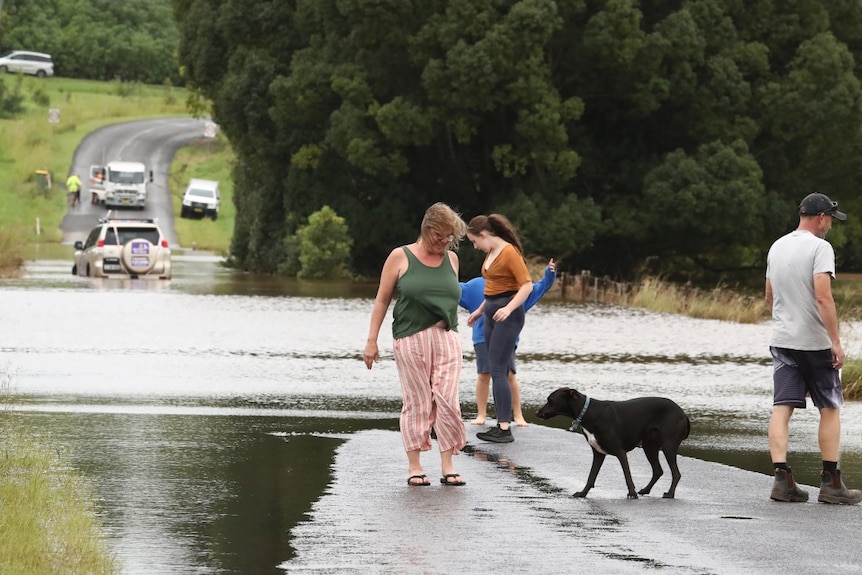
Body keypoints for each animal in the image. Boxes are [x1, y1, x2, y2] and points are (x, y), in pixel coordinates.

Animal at [536, 388, 692, 500]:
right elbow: (591, 477)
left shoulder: (620, 452)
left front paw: (632, 494)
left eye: (550, 400)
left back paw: (670, 494)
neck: (589, 412)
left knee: (676, 473)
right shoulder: (598, 453)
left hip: (668, 446)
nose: (537, 413)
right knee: (658, 470)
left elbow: (627, 476)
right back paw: (646, 490)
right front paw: (582, 493)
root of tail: (683, 414)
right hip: (649, 445)